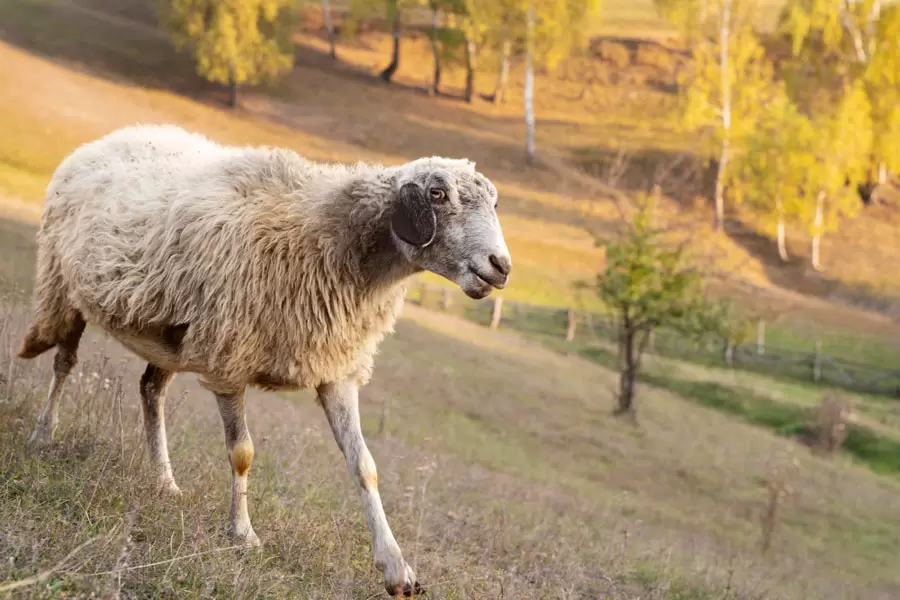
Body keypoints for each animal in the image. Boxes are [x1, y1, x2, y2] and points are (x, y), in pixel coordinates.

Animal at [19, 124, 512, 596]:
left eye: (493, 202)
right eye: (438, 194)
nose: (501, 265)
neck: (326, 234)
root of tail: (108, 138)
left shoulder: (335, 369)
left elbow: (365, 467)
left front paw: (397, 570)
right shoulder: (229, 358)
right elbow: (242, 453)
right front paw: (243, 534)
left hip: (173, 332)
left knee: (150, 390)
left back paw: (164, 481)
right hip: (65, 288)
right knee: (65, 364)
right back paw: (43, 435)